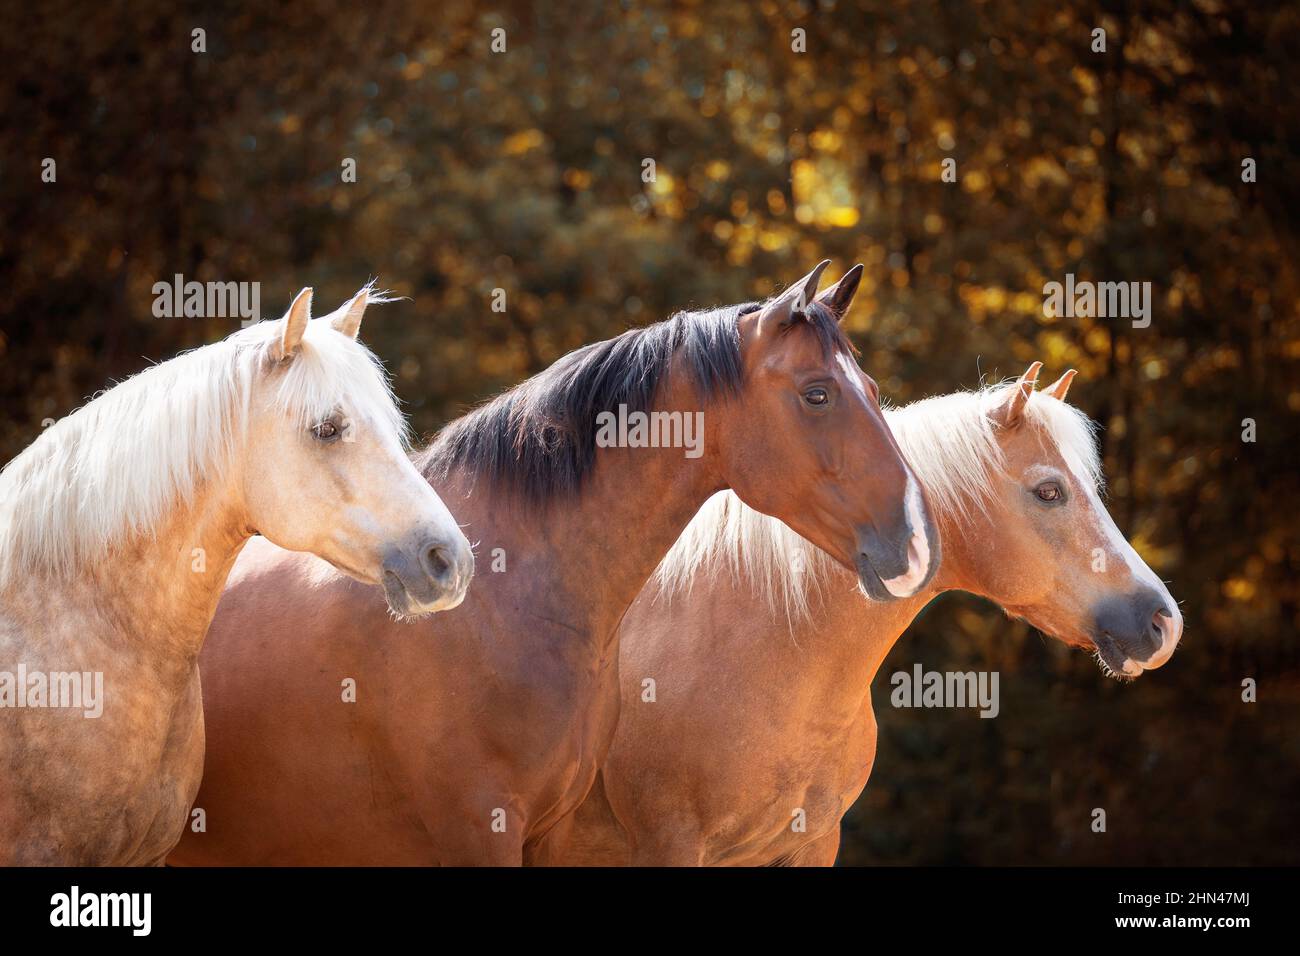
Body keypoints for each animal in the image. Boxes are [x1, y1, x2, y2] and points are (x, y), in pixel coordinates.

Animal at [172, 261, 941, 868]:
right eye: (817, 393)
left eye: (871, 387)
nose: (916, 542)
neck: (512, 594)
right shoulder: (479, 830)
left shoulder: (549, 832)